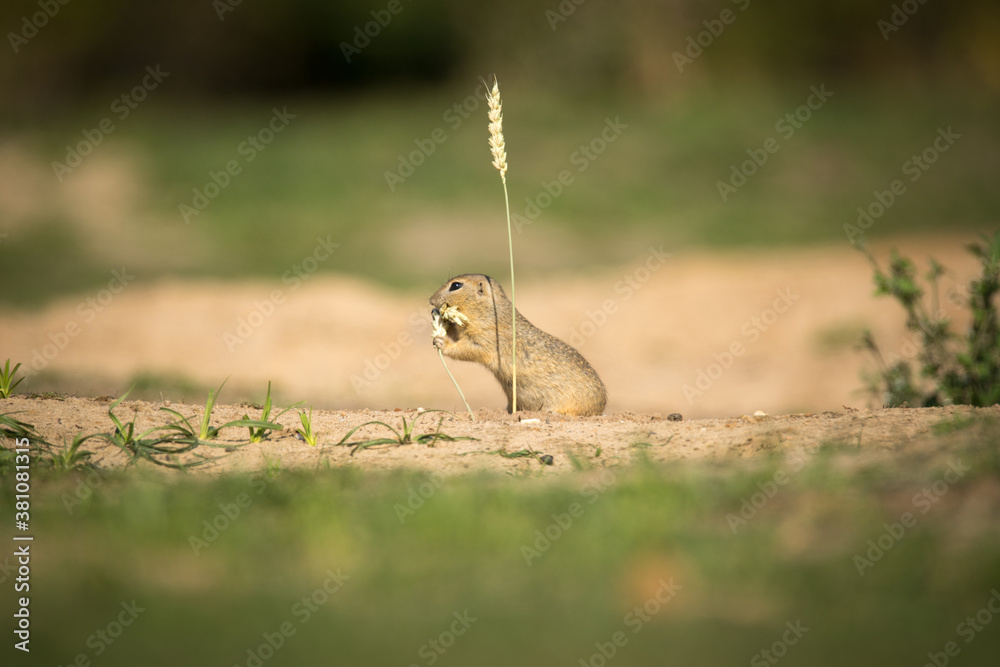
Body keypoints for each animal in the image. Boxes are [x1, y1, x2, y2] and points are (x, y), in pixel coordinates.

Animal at [429, 273, 607, 416]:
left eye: (456, 285)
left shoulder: (487, 339)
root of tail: (600, 409)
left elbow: (468, 350)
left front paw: (441, 341)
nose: (431, 301)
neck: (488, 311)